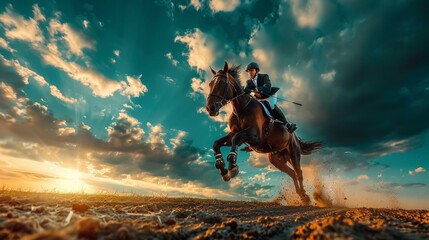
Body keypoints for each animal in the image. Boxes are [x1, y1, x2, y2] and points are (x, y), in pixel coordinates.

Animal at [205, 62, 320, 204]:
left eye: (221, 83)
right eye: (210, 84)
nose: (210, 108)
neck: (241, 108)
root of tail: (295, 137)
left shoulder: (254, 136)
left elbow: (236, 139)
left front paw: (232, 166)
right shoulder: (234, 134)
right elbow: (217, 143)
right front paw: (222, 168)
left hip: (294, 153)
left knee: (299, 173)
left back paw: (305, 197)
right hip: (277, 159)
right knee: (292, 173)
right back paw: (301, 195)